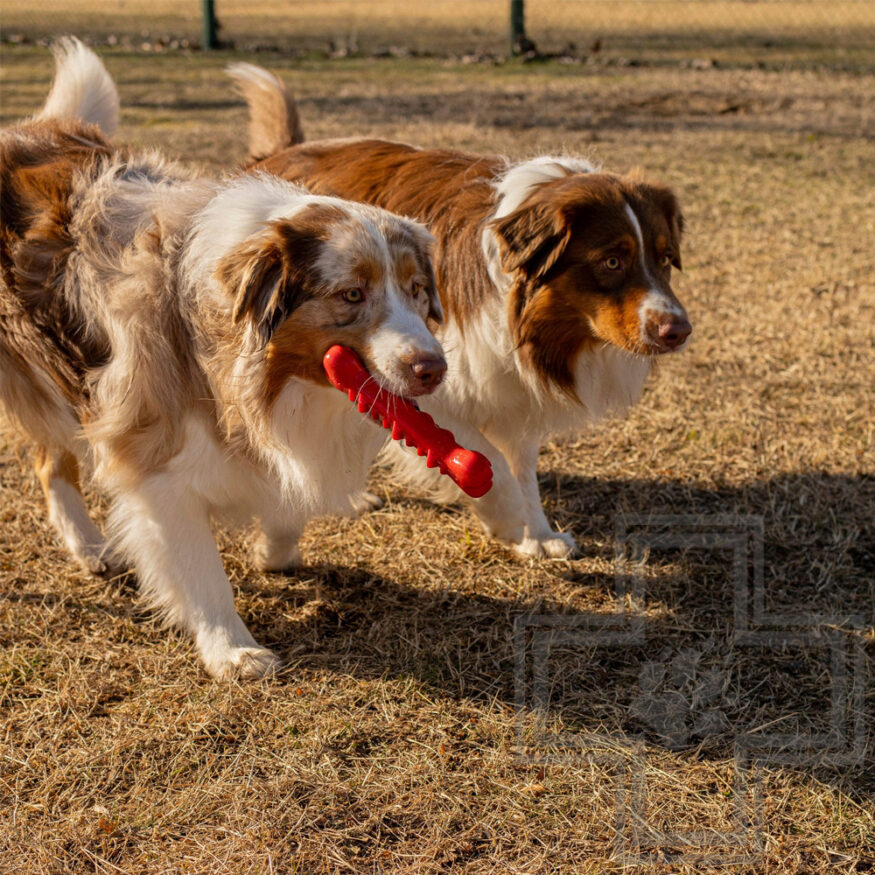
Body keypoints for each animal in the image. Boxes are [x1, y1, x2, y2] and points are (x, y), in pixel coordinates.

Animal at [1, 41, 444, 680]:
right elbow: (201, 569)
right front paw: (231, 649)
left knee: (48, 459)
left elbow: (285, 497)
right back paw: (90, 546)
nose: (434, 369)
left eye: (416, 290)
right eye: (351, 294)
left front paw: (275, 550)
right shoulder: (150, 456)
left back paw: (89, 546)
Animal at [229, 66, 696, 560]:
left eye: (665, 258)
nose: (679, 331)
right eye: (611, 261)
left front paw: (537, 534)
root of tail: (275, 155)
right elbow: (483, 457)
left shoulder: (509, 386)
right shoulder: (435, 377)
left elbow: (521, 463)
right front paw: (507, 518)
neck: (518, 308)